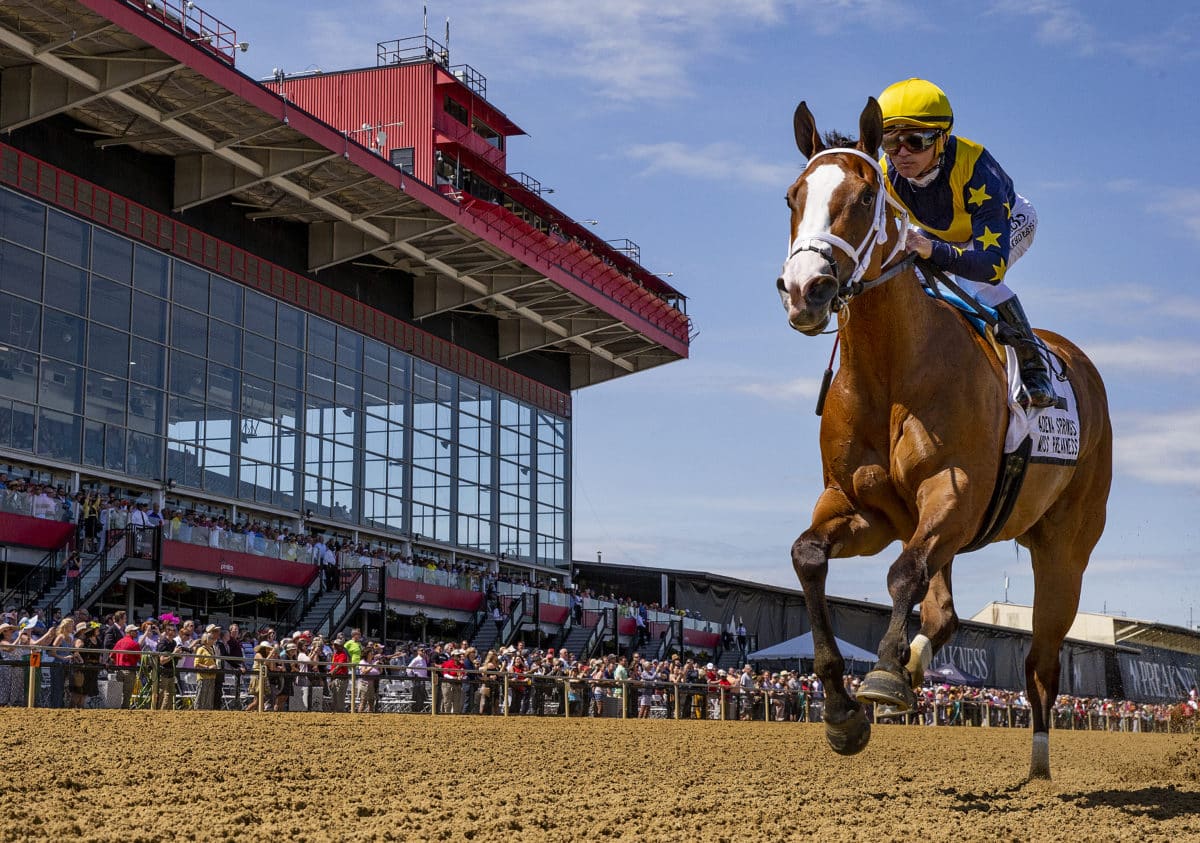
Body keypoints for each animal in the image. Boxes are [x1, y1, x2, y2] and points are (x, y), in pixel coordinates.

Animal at [782, 97, 1108, 778]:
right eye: (793, 197)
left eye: (864, 196)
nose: (805, 289)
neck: (890, 368)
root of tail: (1081, 366)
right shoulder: (865, 508)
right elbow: (809, 555)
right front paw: (843, 710)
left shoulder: (952, 493)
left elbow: (902, 573)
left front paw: (880, 678)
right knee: (946, 613)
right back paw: (912, 666)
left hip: (1064, 547)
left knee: (1041, 660)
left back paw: (1038, 766)